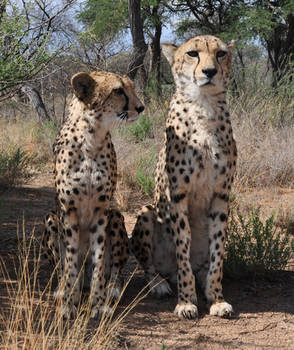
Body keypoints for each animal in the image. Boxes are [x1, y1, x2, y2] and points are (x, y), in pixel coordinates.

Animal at [42, 71, 145, 320]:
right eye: (118, 91)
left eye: (131, 87)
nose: (141, 107)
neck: (91, 138)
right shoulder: (68, 210)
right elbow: (70, 261)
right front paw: (68, 304)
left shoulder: (101, 209)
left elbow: (99, 263)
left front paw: (98, 304)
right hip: (50, 218)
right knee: (63, 268)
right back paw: (64, 289)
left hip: (115, 216)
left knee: (114, 269)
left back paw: (112, 289)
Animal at [132, 35, 238, 320]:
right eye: (193, 53)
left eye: (221, 54)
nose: (209, 71)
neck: (203, 105)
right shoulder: (178, 196)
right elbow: (182, 249)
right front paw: (186, 301)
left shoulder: (221, 195)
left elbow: (217, 254)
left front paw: (217, 298)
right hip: (146, 212)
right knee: (150, 267)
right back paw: (160, 284)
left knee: (204, 264)